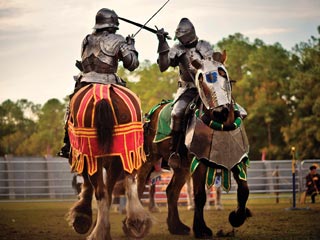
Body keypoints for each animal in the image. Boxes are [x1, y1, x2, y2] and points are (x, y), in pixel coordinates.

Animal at [66, 83, 152, 240]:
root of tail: (103, 95)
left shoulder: (86, 157)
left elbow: (91, 186)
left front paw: (82, 216)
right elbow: (110, 191)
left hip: (94, 156)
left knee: (100, 192)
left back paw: (98, 232)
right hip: (125, 153)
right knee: (129, 184)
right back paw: (136, 222)